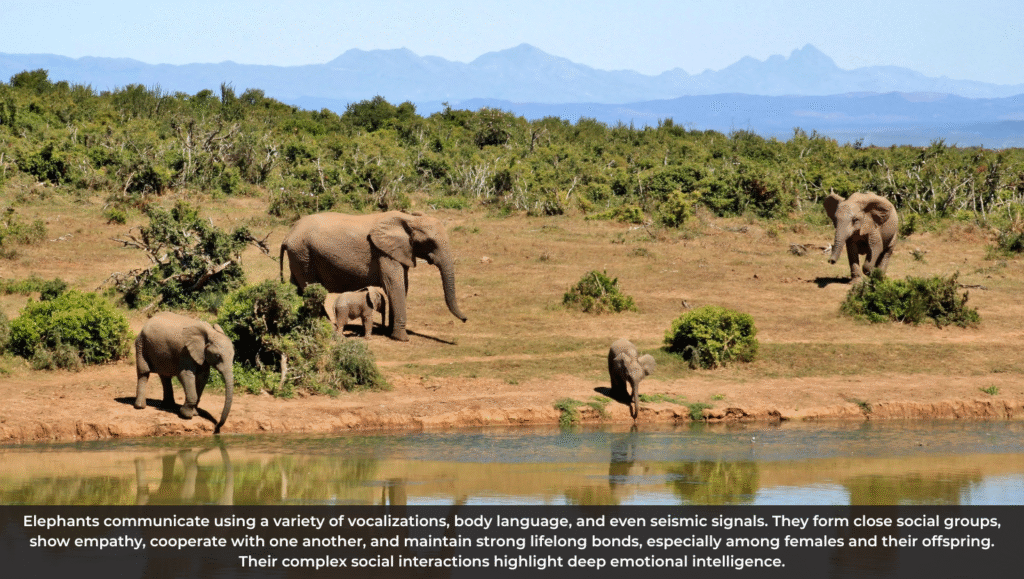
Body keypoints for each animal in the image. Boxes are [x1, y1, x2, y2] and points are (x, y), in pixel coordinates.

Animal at [280, 210, 467, 341]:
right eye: (430, 242)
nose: (465, 319)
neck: (408, 219)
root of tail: (288, 235)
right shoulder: (384, 253)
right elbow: (395, 285)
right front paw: (402, 338)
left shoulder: (399, 252)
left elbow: (402, 286)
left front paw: (391, 332)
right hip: (303, 254)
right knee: (311, 289)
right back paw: (327, 327)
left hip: (298, 257)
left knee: (297, 288)